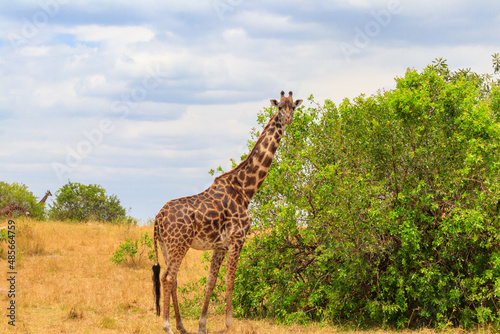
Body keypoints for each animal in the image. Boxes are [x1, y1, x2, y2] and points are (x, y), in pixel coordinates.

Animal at [150, 91, 302, 334]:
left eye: (293, 108)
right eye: (279, 107)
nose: (287, 119)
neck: (245, 190)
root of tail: (158, 218)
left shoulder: (220, 245)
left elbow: (211, 281)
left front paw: (202, 325)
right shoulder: (237, 238)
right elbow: (231, 279)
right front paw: (229, 323)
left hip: (166, 246)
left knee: (173, 278)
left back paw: (182, 326)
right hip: (179, 243)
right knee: (167, 277)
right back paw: (167, 326)